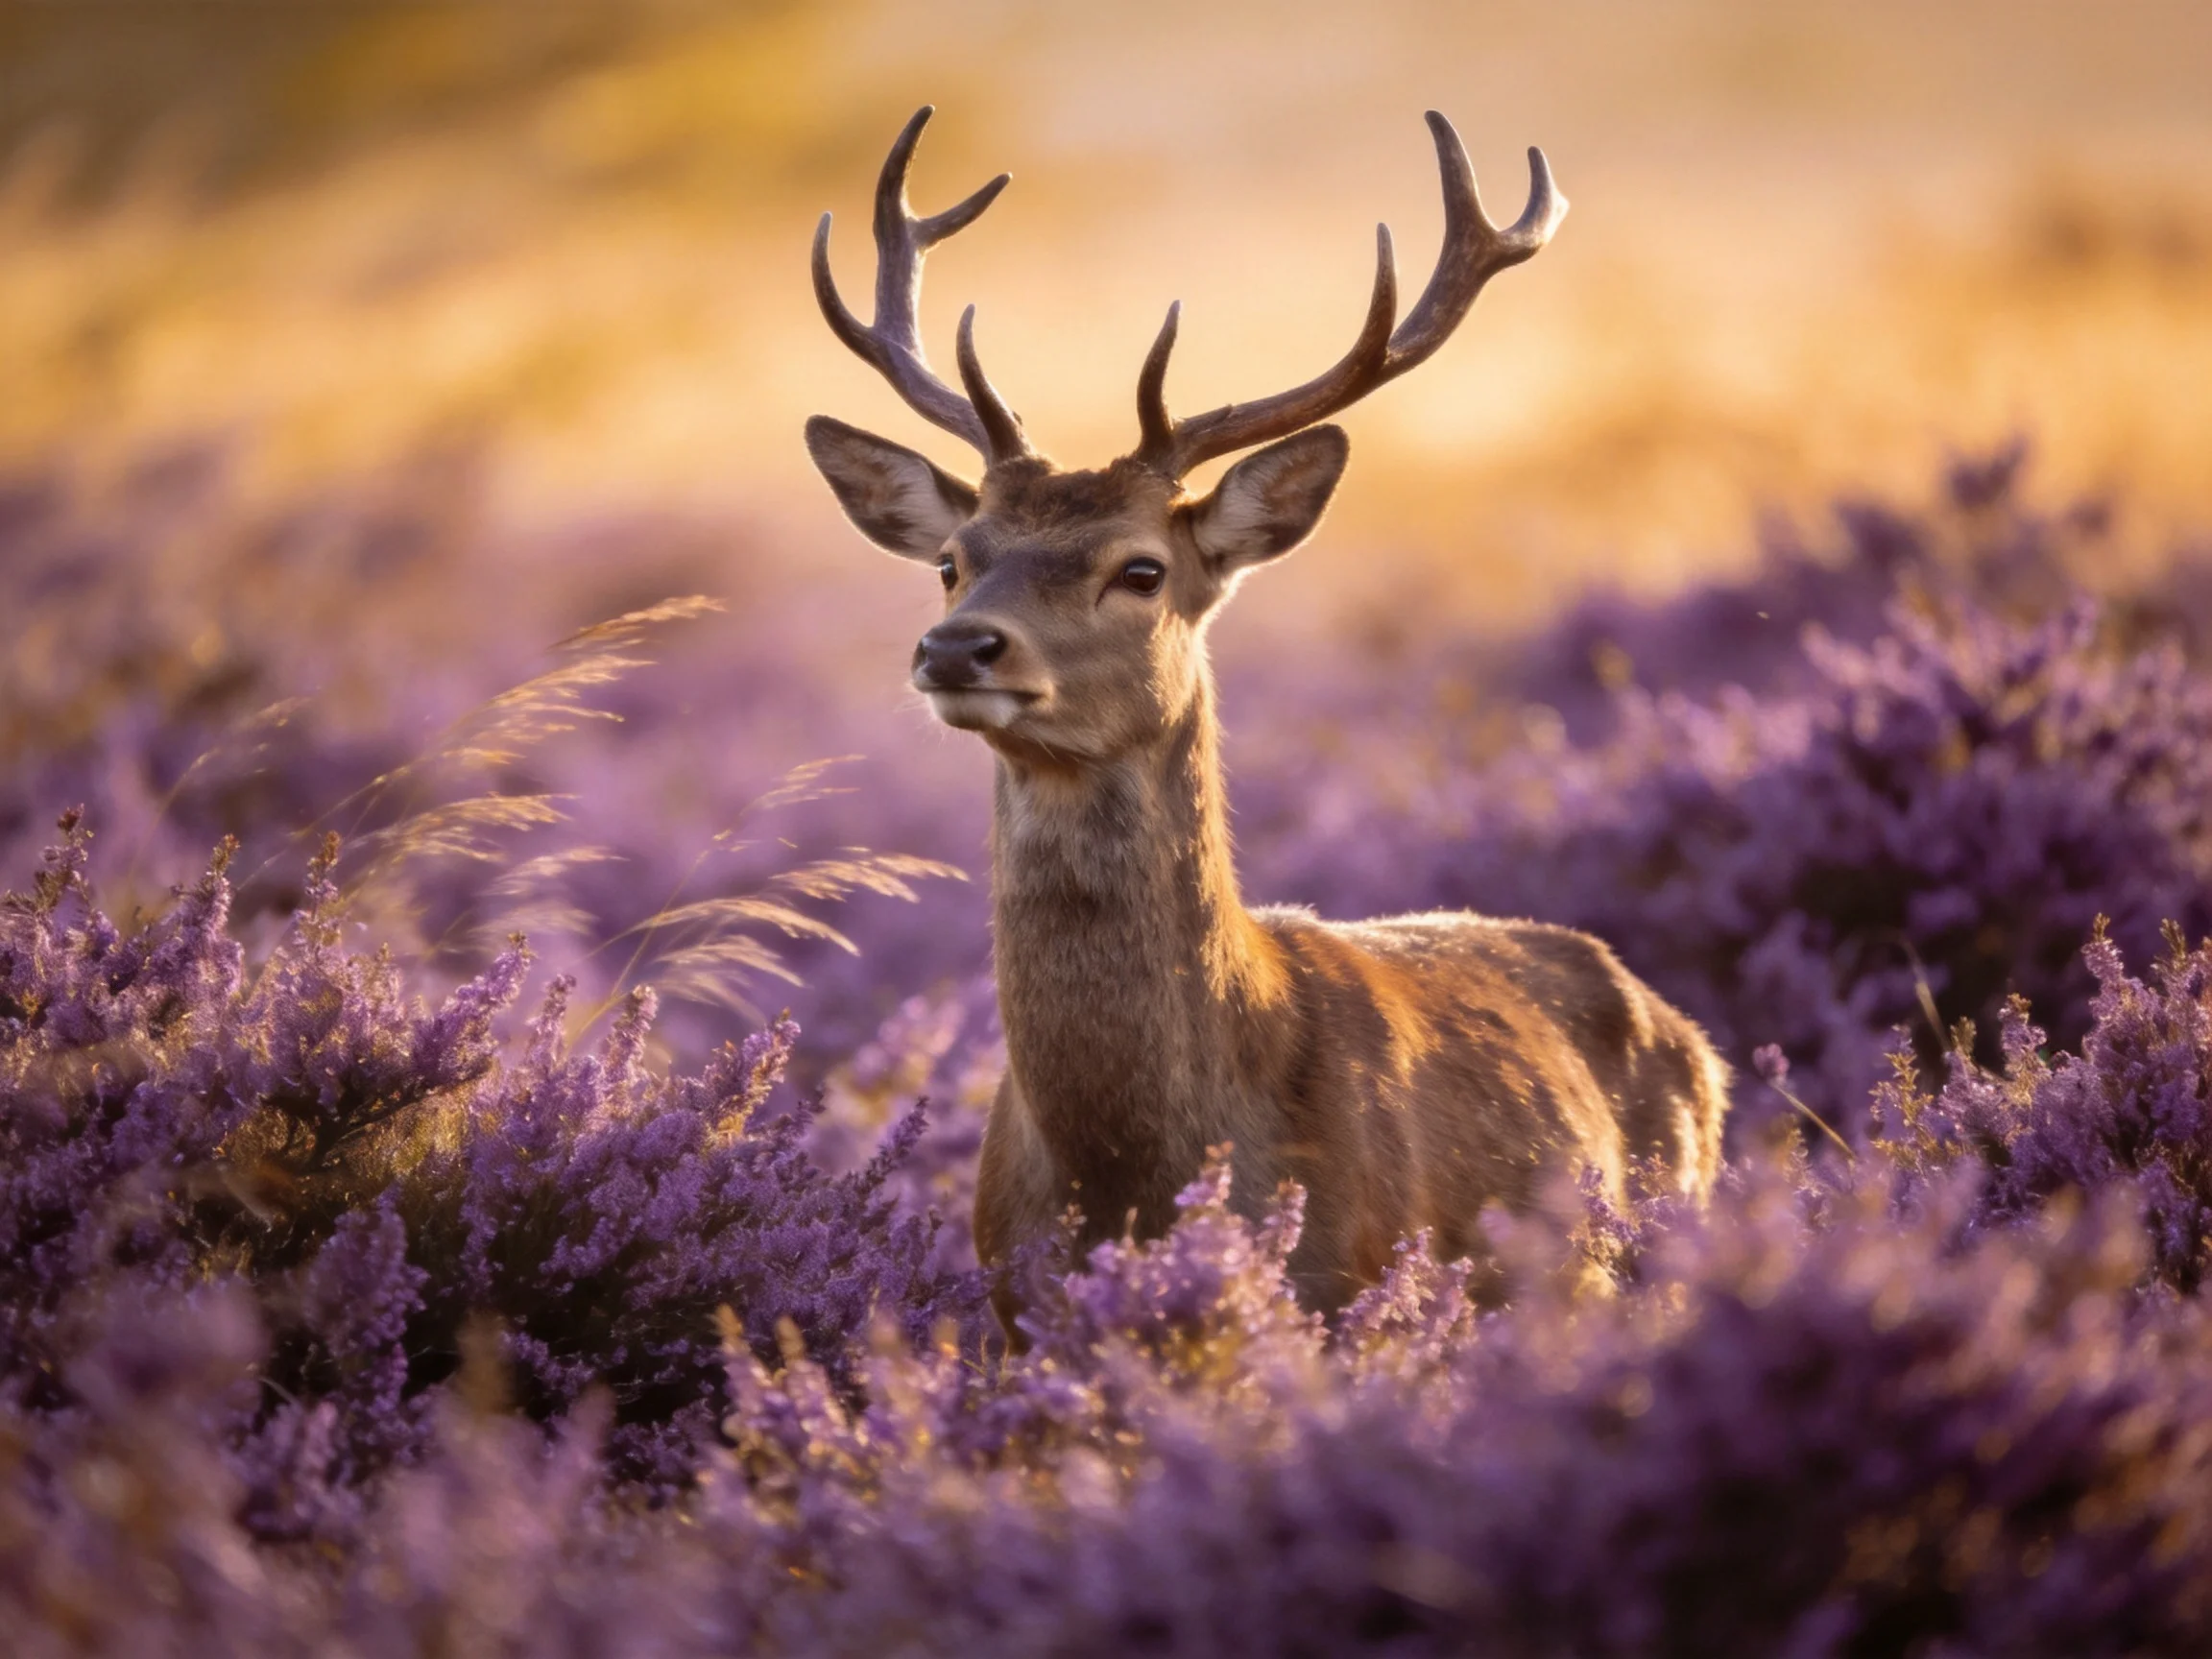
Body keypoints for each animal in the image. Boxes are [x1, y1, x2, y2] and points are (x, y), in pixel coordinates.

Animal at [804, 107, 1729, 1334]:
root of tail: (1698, 1042)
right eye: (953, 560)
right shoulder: (1010, 1305)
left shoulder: (1346, 1281)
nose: (957, 648)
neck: (1134, 1170)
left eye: (1141, 570)